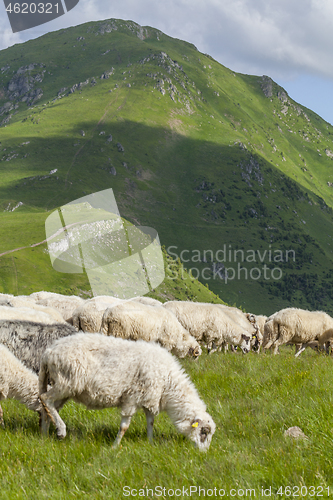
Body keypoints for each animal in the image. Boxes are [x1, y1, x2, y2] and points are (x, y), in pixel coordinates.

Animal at [39, 334, 215, 452]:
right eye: (204, 432)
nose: (203, 453)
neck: (168, 383)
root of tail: (48, 352)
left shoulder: (149, 399)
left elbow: (150, 423)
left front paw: (150, 443)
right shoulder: (132, 398)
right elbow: (124, 426)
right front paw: (115, 446)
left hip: (67, 388)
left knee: (49, 408)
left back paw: (46, 434)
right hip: (66, 381)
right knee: (45, 398)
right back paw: (61, 430)